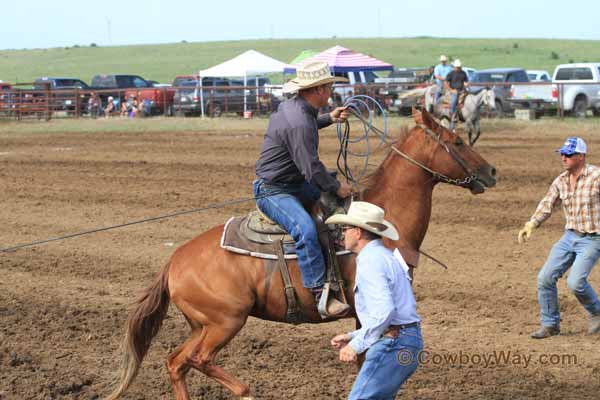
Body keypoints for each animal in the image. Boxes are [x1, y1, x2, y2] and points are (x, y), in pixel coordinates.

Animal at [104, 108, 496, 400]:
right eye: (458, 141)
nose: (491, 172)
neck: (382, 220)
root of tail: (174, 262)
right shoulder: (368, 311)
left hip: (202, 324)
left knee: (176, 363)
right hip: (225, 322)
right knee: (198, 360)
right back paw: (245, 390)